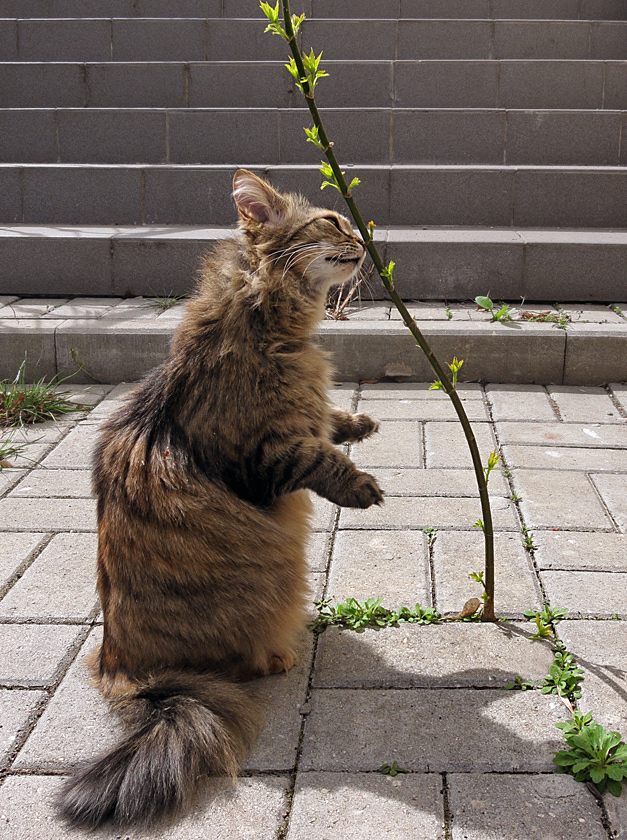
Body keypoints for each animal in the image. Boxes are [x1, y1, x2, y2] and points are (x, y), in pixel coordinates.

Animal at [59, 169, 382, 828]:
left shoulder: (297, 424)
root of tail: (131, 675)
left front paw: (357, 422)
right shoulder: (259, 459)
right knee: (242, 664)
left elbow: (324, 423)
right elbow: (316, 456)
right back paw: (278, 656)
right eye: (332, 222)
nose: (365, 239)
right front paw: (361, 484)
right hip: (269, 578)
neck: (269, 316)